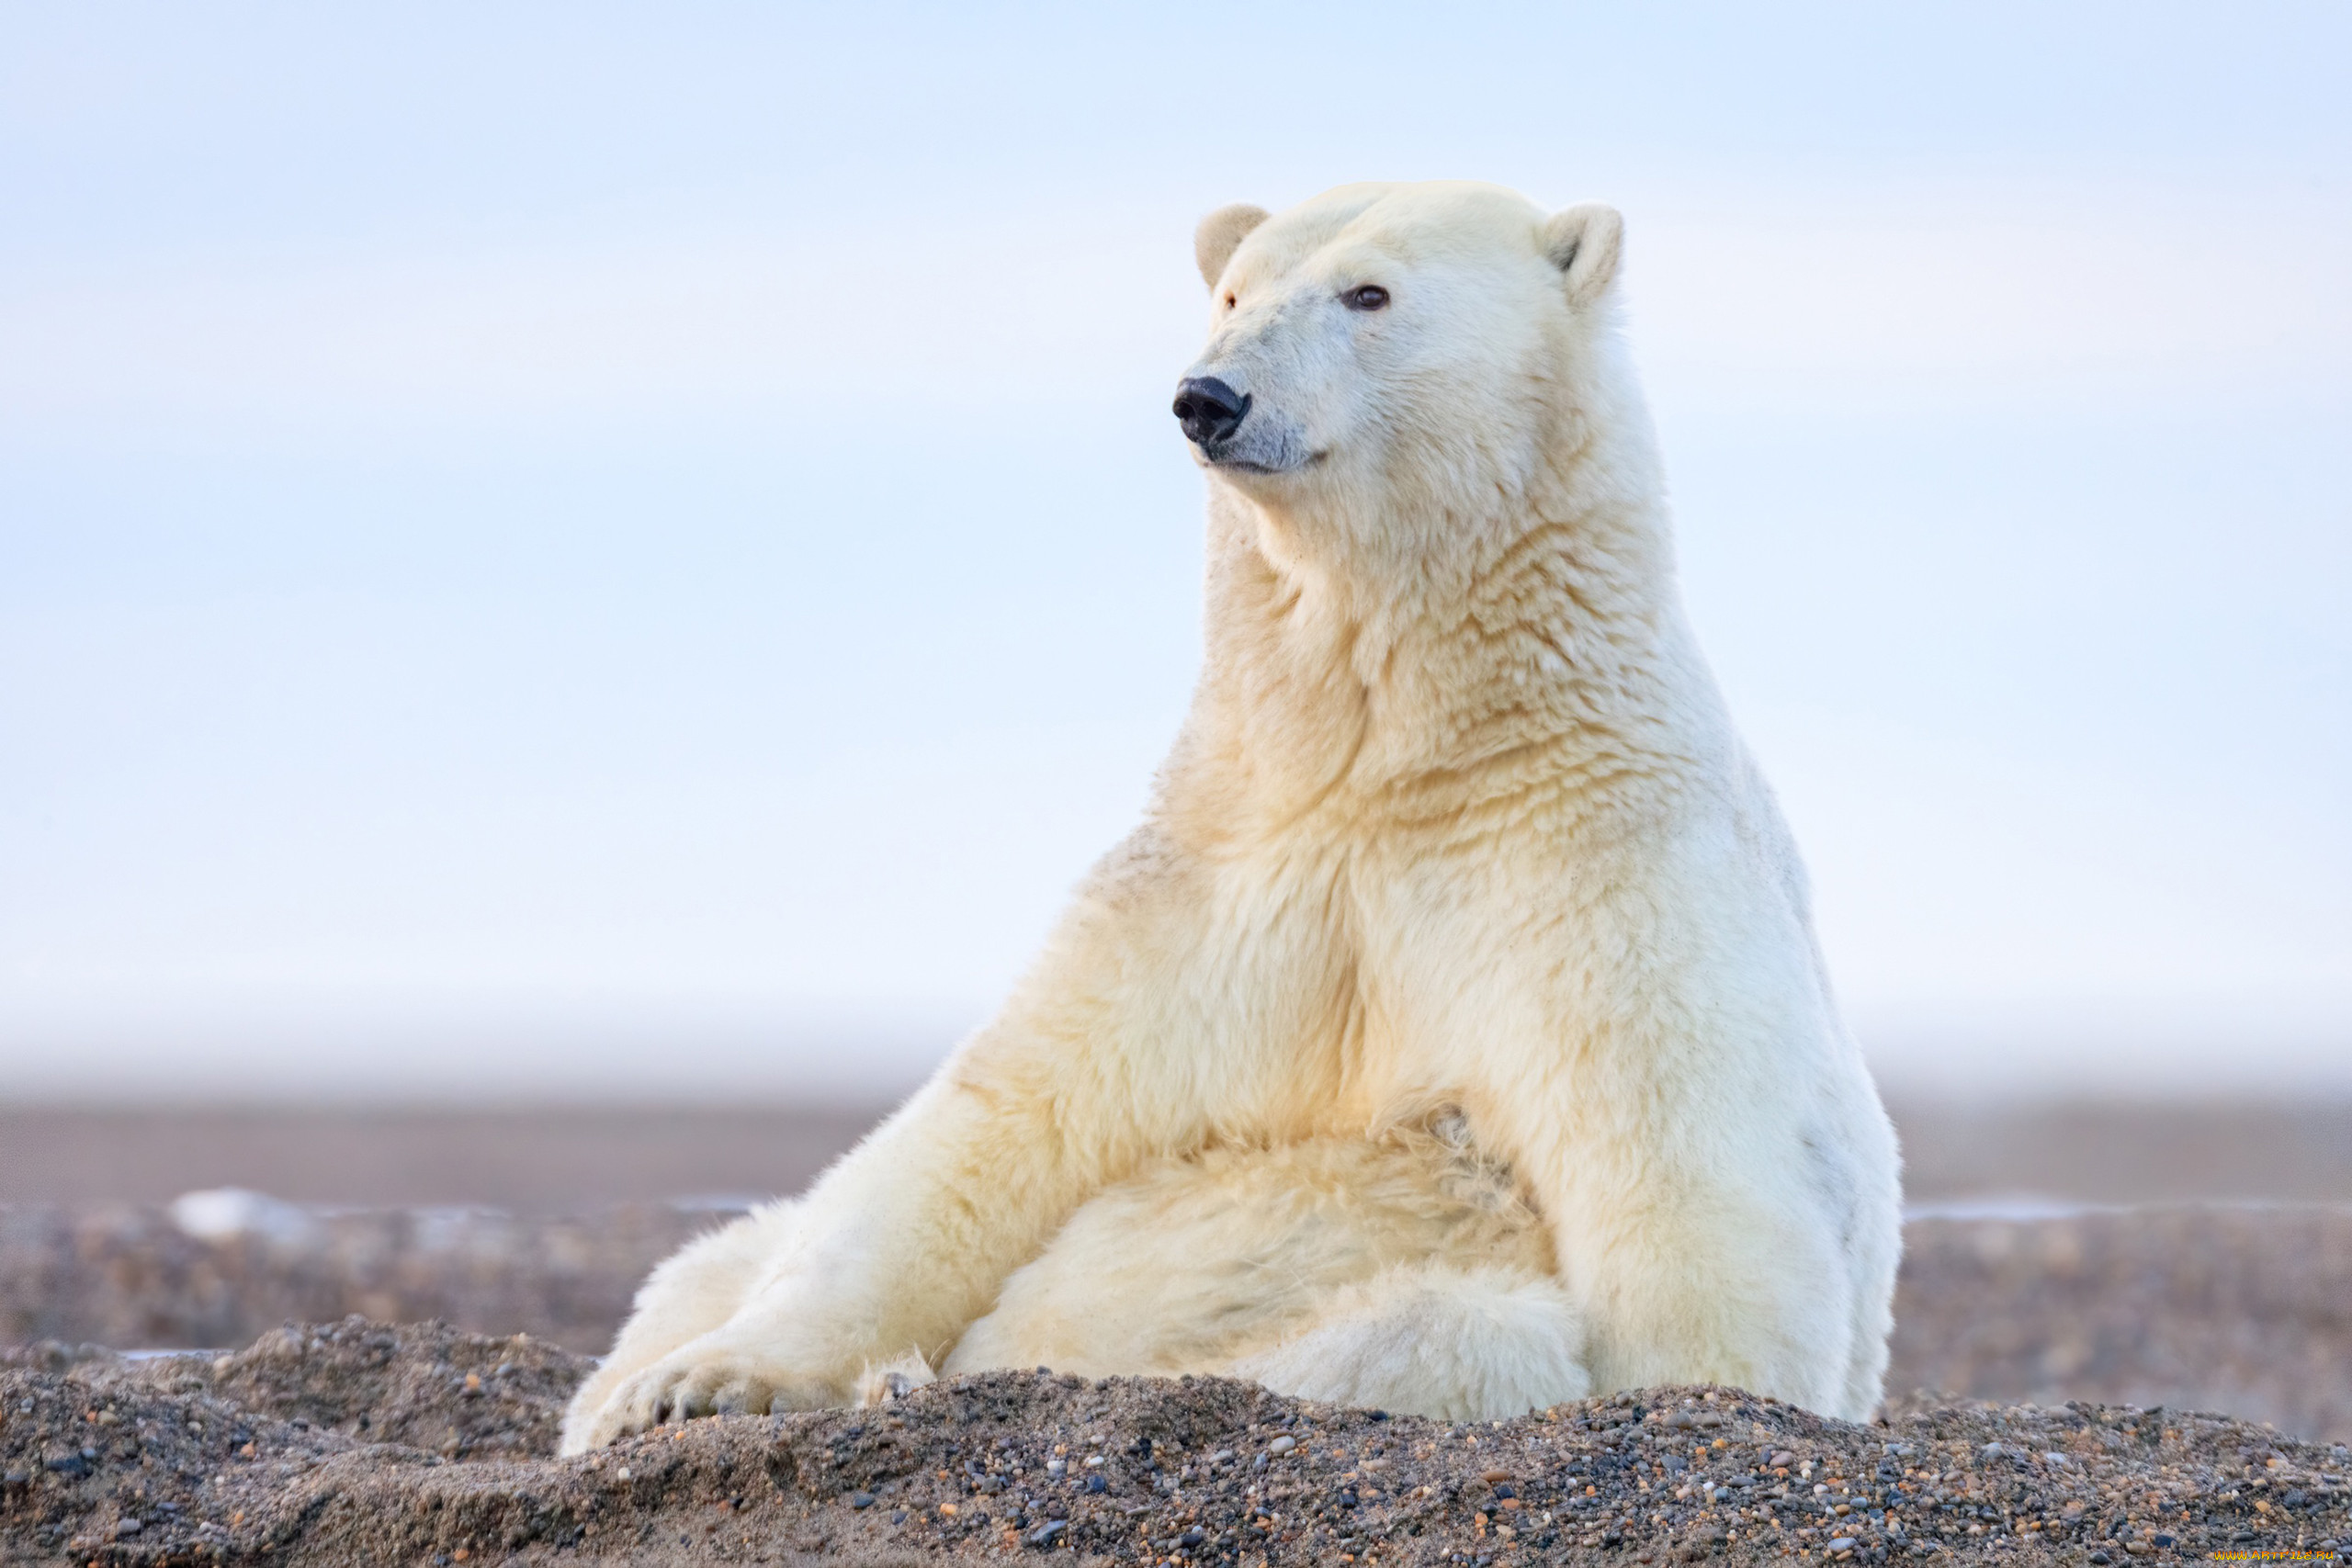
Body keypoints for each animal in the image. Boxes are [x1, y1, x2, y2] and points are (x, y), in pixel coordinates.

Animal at [560, 184, 1900, 1457]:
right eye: (1233, 290)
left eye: (1369, 292)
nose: (1208, 397)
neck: (1404, 761)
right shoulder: (1224, 877)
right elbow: (991, 1130)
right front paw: (691, 1388)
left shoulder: (1602, 873)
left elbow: (1686, 1205)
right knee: (726, 1251)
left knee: (1459, 1329)